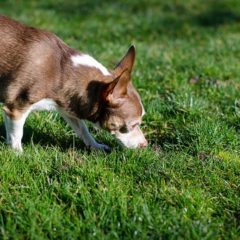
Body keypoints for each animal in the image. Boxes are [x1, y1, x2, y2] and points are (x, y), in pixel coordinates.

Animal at [0, 15, 148, 152]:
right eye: (132, 125)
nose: (145, 144)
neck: (62, 71)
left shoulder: (67, 106)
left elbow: (83, 130)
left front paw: (96, 147)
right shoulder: (16, 109)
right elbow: (16, 135)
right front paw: (18, 154)